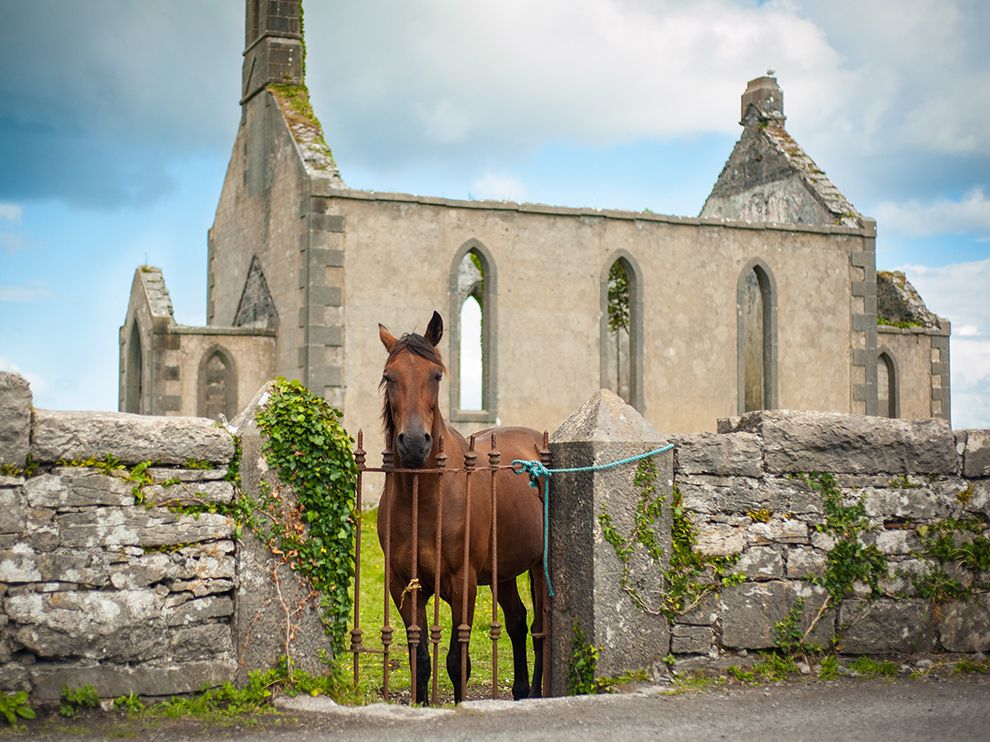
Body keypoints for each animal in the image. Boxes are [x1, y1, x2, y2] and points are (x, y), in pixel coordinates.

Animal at [380, 310, 552, 708]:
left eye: (436, 375)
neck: (426, 498)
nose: (414, 444)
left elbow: (457, 661)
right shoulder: (402, 586)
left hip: (538, 566)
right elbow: (420, 658)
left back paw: (536, 693)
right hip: (504, 571)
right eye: (389, 376)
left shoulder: (463, 583)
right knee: (517, 621)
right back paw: (520, 691)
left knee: (540, 628)